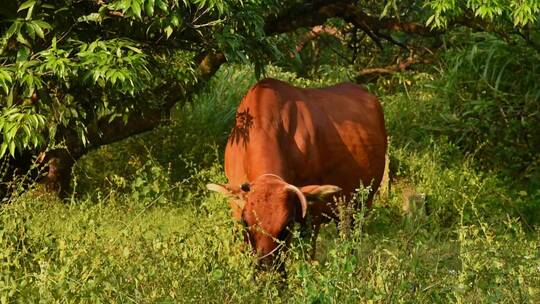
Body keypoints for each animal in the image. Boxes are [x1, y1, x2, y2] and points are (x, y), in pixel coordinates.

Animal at [205, 79, 386, 268]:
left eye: (287, 225)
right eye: (246, 223)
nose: (267, 266)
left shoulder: (311, 209)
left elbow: (307, 251)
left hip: (364, 203)